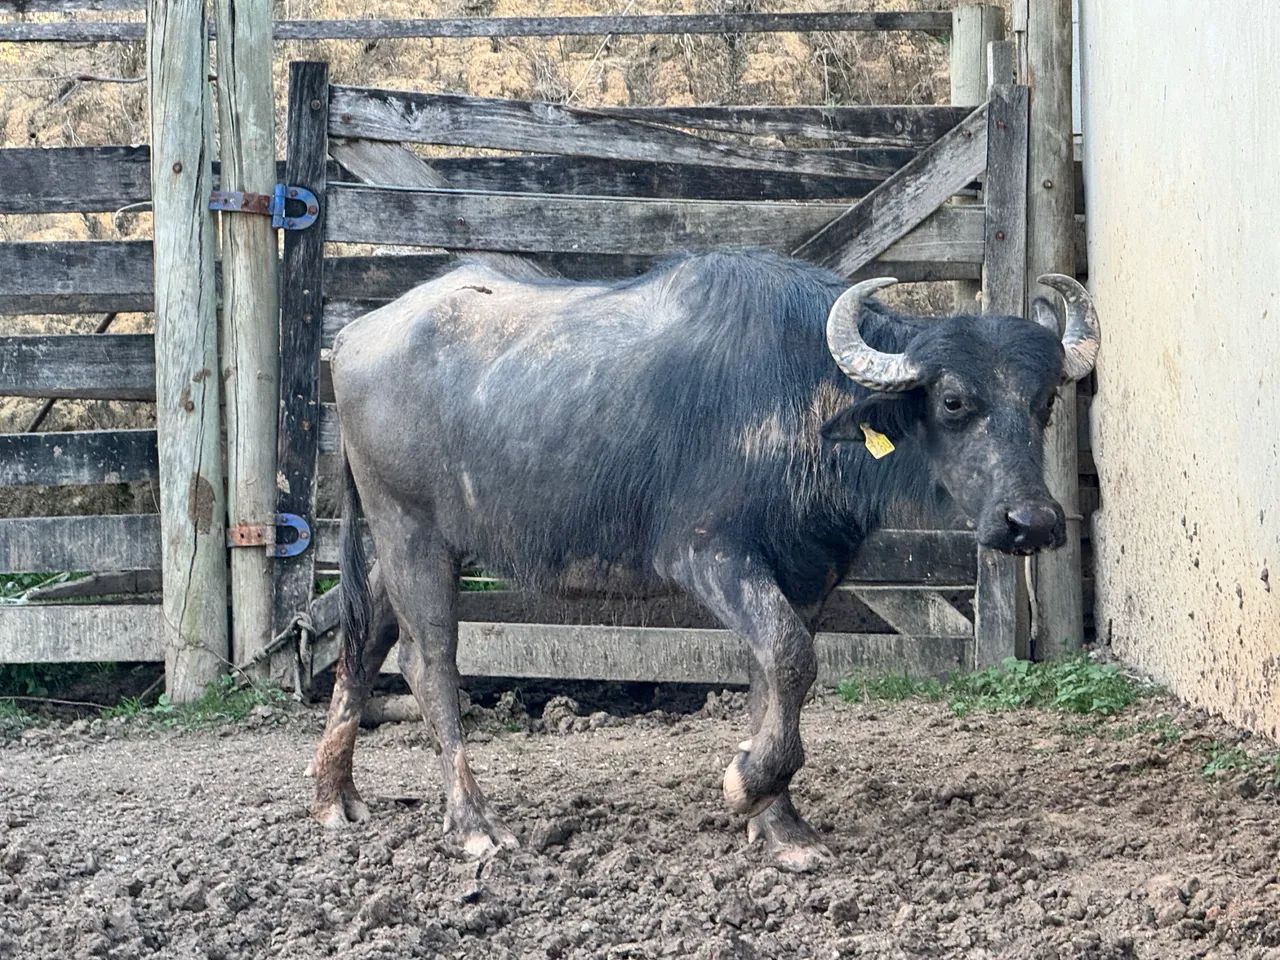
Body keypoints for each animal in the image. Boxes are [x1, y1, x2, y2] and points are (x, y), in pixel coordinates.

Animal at [307, 250, 1100, 870]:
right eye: (955, 400)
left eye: (1043, 403)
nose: (1031, 522)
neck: (798, 399)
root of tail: (352, 337)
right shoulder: (708, 554)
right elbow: (791, 658)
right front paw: (746, 784)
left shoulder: (803, 574)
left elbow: (776, 675)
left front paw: (780, 826)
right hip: (412, 532)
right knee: (428, 663)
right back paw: (474, 823)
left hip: (403, 540)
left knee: (363, 638)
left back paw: (334, 795)